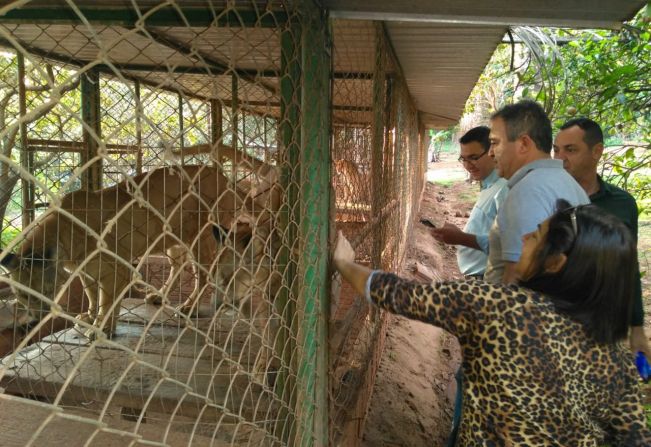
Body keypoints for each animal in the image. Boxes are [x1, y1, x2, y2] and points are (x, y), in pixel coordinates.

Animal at [0, 165, 248, 340]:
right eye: (22, 295)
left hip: (201, 237)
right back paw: (159, 296)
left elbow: (107, 302)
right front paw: (89, 316)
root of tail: (223, 176)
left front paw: (102, 328)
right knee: (178, 265)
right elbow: (92, 295)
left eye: (46, 291)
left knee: (204, 274)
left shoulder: (115, 270)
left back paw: (189, 307)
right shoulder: (86, 271)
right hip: (171, 239)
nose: (36, 320)